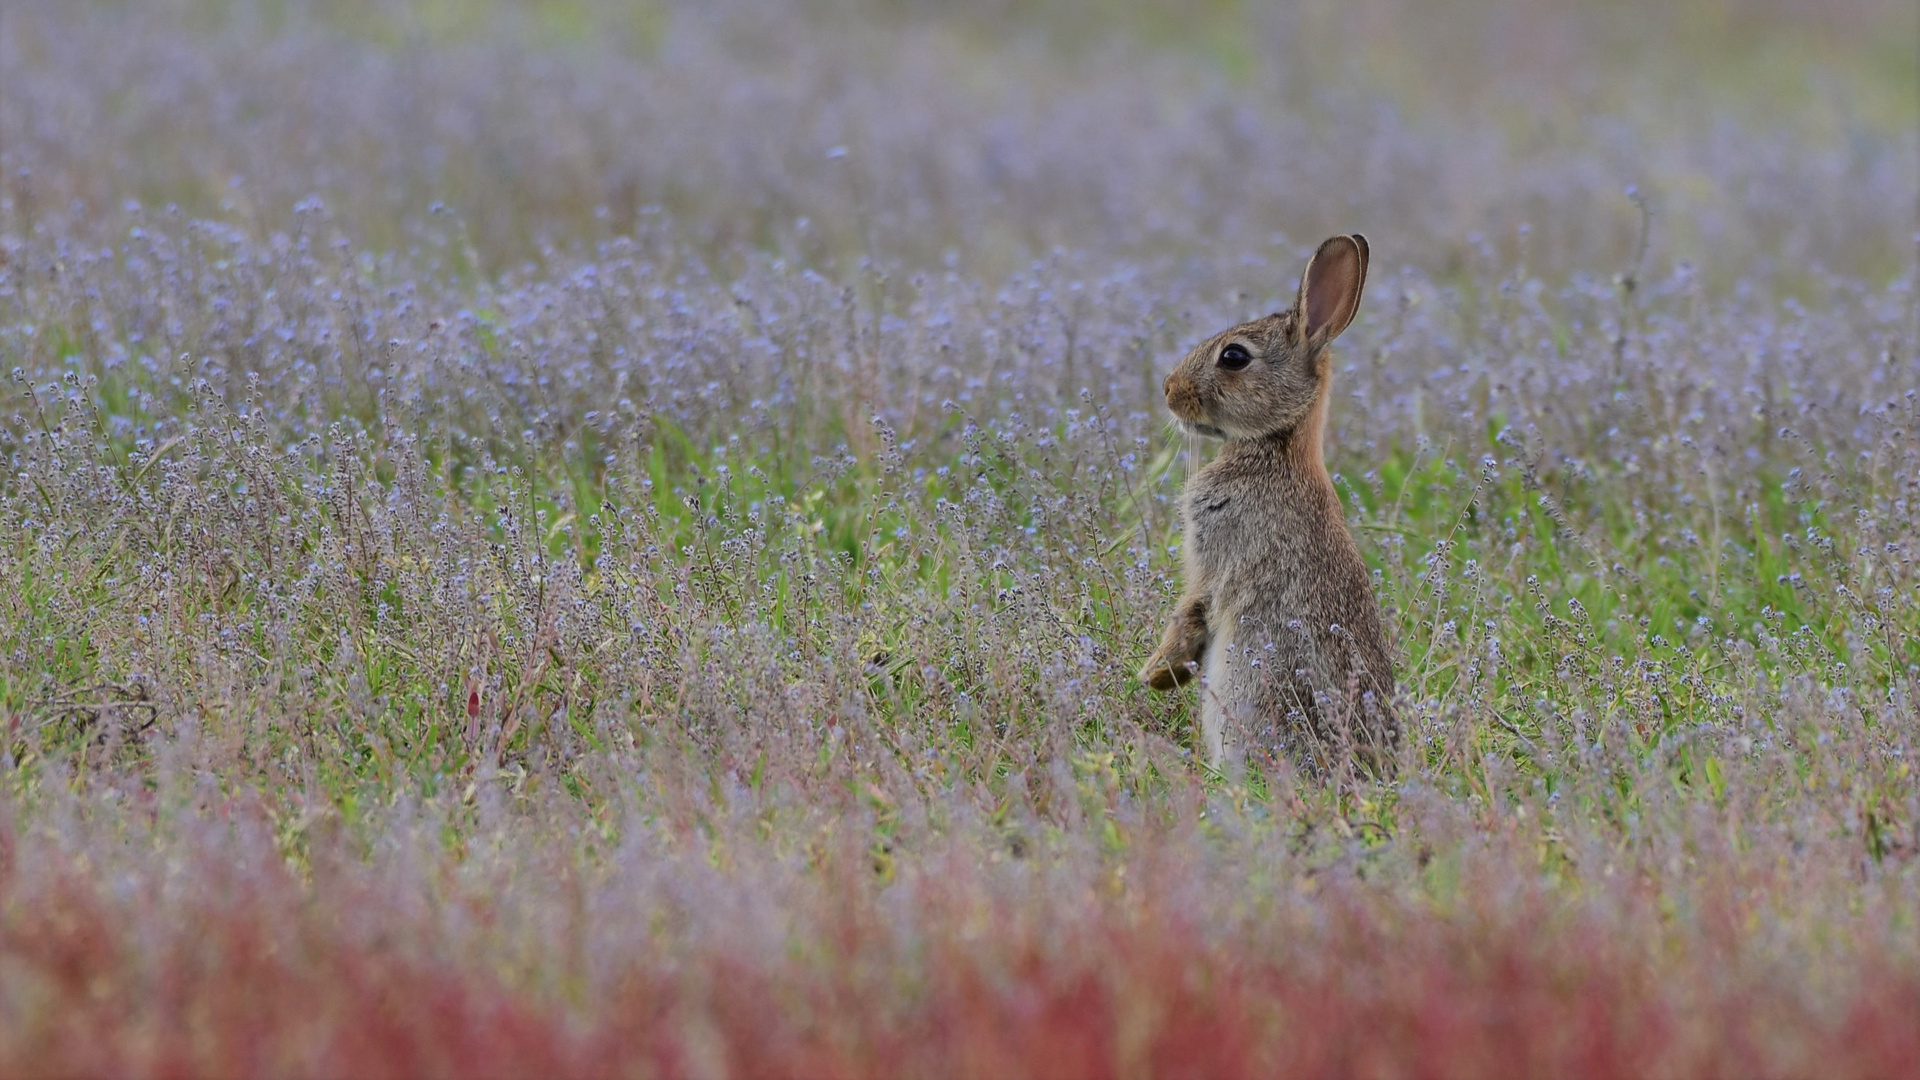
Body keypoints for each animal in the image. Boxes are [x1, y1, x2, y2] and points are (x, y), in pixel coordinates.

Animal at [1136, 233, 1397, 772]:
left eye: (1234, 357)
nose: (1170, 390)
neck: (1276, 445)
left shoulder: (1218, 558)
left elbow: (1191, 611)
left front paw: (1156, 673)